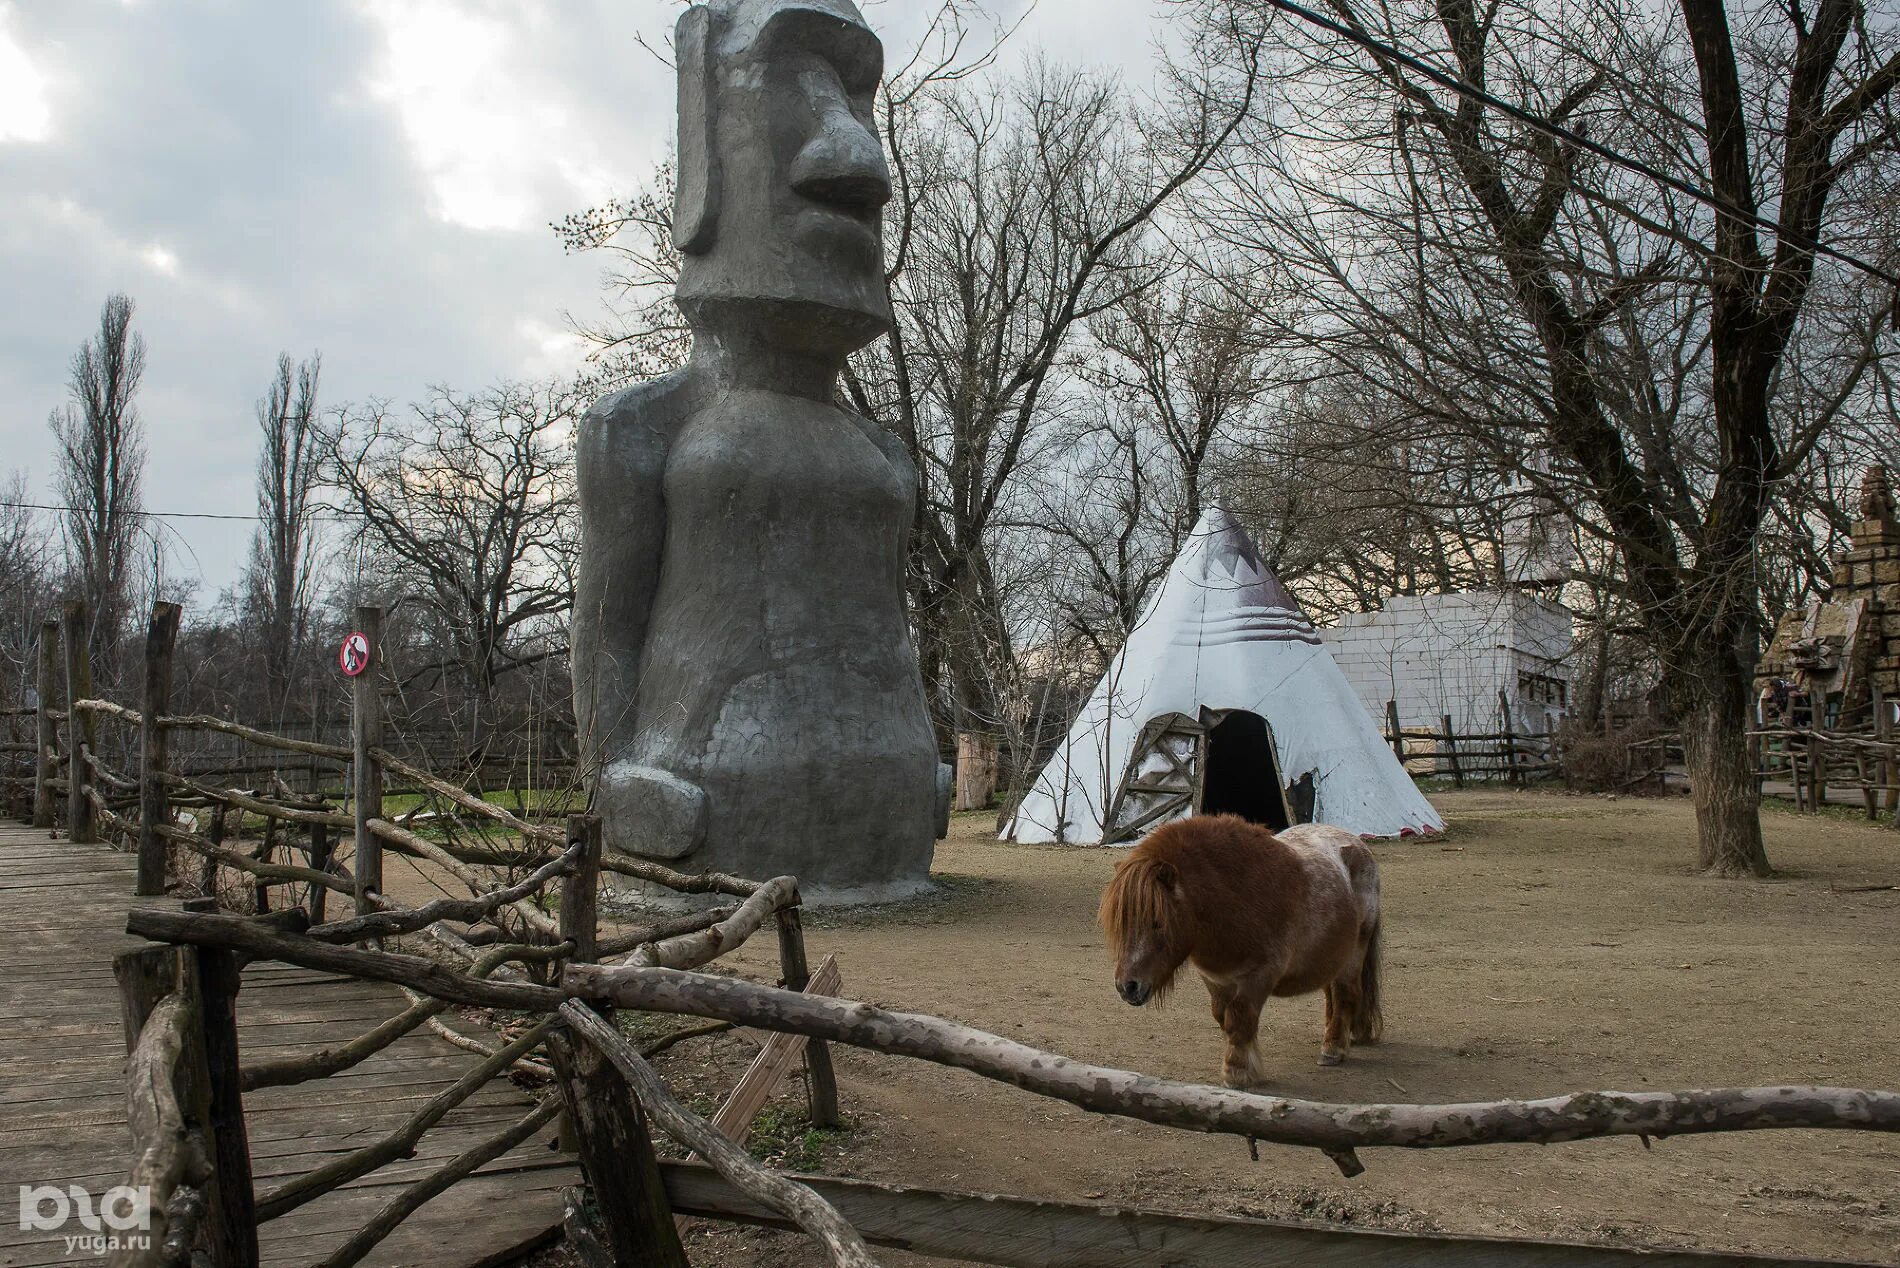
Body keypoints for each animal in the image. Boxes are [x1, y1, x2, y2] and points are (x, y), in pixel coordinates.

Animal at [1102, 817, 1383, 1087]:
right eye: (1121, 923)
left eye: (1158, 922)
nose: (1127, 986)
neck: (1233, 899)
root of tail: (1358, 845)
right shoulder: (1215, 979)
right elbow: (1224, 1017)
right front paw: (1250, 1064)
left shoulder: (1260, 976)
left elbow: (1240, 1018)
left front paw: (1236, 1072)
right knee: (1331, 997)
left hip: (1355, 951)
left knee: (1345, 994)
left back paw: (1333, 1049)